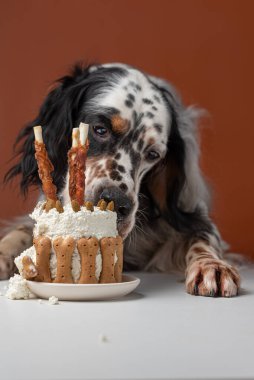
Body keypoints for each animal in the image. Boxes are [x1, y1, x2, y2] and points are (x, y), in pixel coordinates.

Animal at [0, 62, 240, 296]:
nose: (117, 203)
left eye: (153, 154)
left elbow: (202, 238)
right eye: (100, 130)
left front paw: (212, 266)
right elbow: (22, 231)